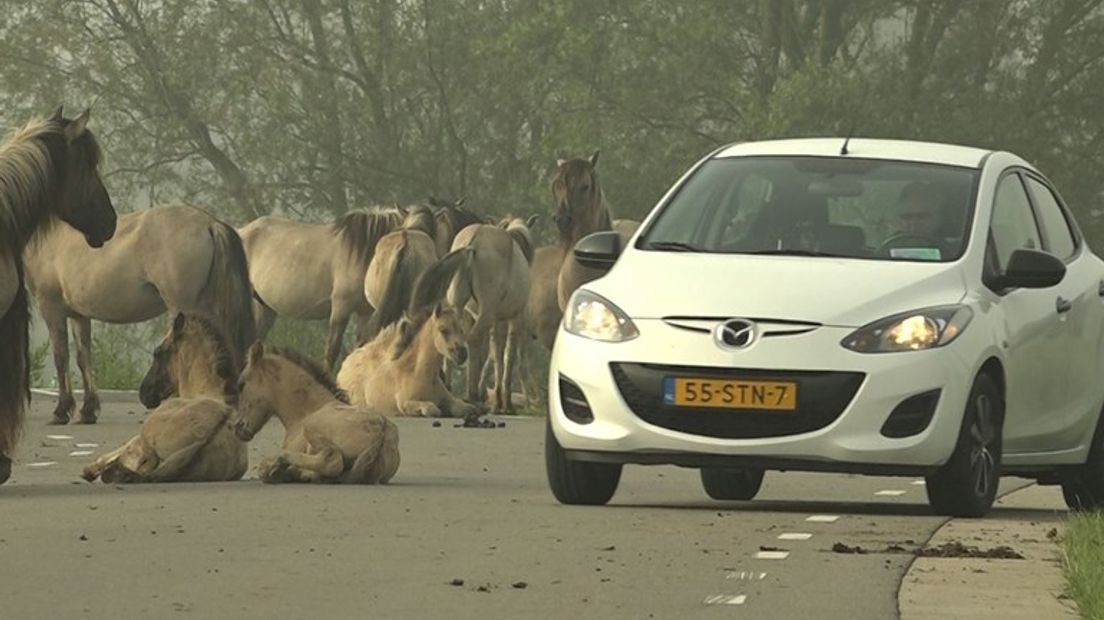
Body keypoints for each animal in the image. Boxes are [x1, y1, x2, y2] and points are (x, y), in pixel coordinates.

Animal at [25, 202, 253, 423]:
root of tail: (209, 222)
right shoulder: (79, 315)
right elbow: (83, 358)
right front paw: (88, 410)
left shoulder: (51, 308)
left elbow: (61, 357)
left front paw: (61, 410)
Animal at [80, 313, 247, 483]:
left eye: (158, 352)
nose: (144, 393)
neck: (206, 391)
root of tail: (207, 435)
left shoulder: (139, 439)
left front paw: (91, 470)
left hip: (147, 436)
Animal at [230, 341, 399, 483]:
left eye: (241, 385)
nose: (238, 428)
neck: (306, 412)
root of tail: (380, 429)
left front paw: (274, 469)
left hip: (311, 428)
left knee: (331, 461)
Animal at [238, 205, 406, 368]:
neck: (360, 255)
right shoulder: (341, 308)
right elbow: (332, 351)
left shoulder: (364, 312)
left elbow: (359, 348)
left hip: (266, 307)